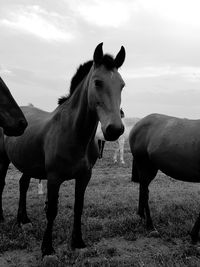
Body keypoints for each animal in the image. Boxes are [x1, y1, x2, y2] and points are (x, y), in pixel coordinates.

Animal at [0, 43, 126, 258]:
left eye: (122, 85)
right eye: (98, 82)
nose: (115, 129)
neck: (72, 133)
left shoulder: (84, 177)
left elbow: (78, 207)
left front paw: (78, 242)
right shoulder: (54, 177)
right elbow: (52, 211)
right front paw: (47, 248)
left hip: (27, 164)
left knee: (23, 184)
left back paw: (23, 220)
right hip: (2, 160)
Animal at [129, 113, 200, 243]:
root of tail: (138, 123)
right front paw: (194, 235)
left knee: (143, 190)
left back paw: (141, 216)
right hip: (146, 168)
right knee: (145, 193)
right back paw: (150, 225)